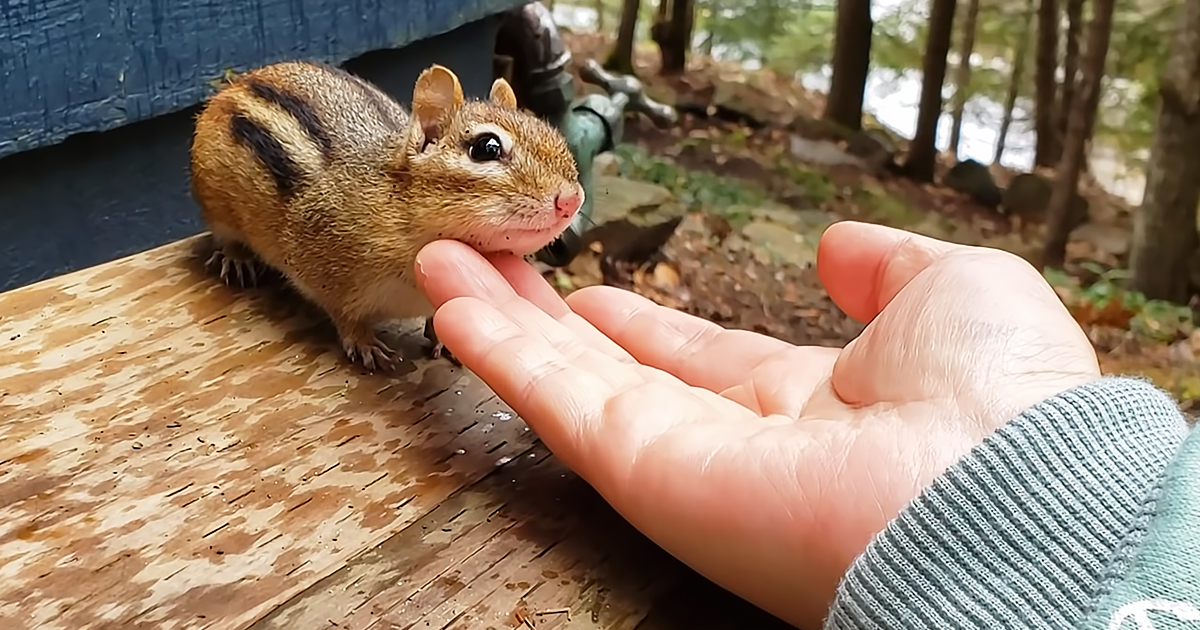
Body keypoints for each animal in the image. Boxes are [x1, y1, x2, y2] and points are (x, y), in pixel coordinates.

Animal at [188, 61, 584, 372]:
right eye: (486, 148)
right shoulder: (324, 271)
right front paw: (365, 344)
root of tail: (236, 82)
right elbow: (345, 316)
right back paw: (237, 259)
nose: (571, 200)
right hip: (215, 204)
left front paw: (443, 338)